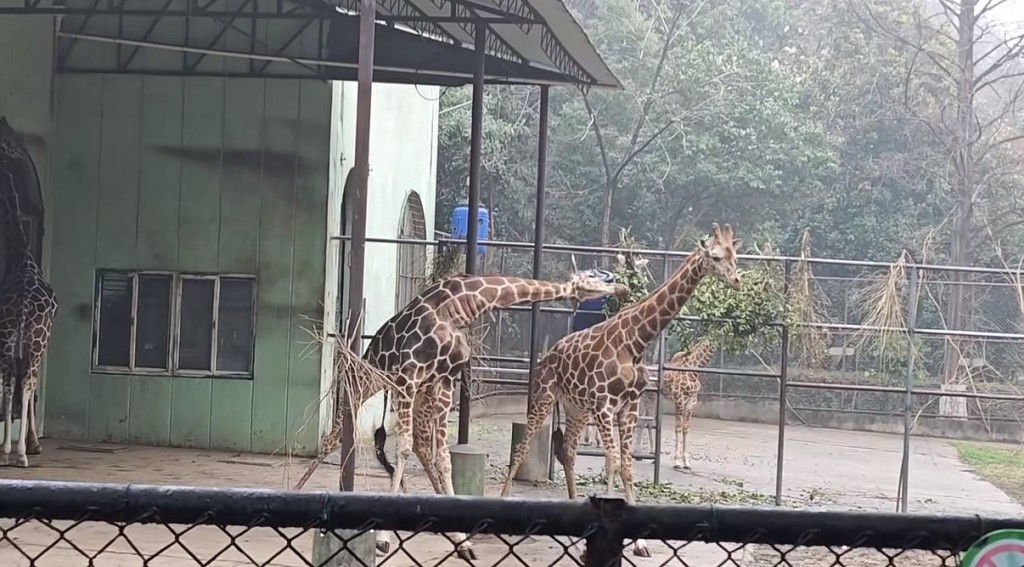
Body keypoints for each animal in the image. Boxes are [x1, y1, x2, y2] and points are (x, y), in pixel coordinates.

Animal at [299, 270, 630, 556]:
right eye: (594, 279)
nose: (622, 289)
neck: (462, 307)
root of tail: (371, 347)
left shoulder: (443, 381)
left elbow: (443, 458)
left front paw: (461, 539)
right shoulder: (409, 375)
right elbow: (404, 448)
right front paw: (382, 536)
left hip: (413, 392)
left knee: (418, 447)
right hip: (369, 380)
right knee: (337, 433)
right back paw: (299, 489)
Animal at [499, 222, 741, 556]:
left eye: (735, 255)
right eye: (715, 256)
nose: (737, 280)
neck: (636, 340)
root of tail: (548, 356)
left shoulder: (629, 407)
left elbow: (626, 466)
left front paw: (639, 542)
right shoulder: (604, 404)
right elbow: (612, 461)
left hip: (576, 408)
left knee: (568, 451)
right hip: (545, 396)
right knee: (523, 447)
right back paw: (503, 500)